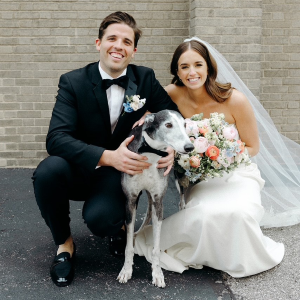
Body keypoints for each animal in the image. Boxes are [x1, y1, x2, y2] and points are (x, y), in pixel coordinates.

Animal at [116, 109, 193, 288]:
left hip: (178, 176)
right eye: (168, 125)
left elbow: (156, 247)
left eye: (184, 124)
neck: (151, 153)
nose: (189, 147)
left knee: (181, 198)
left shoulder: (159, 200)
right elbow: (128, 245)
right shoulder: (131, 199)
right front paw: (126, 271)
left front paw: (157, 274)